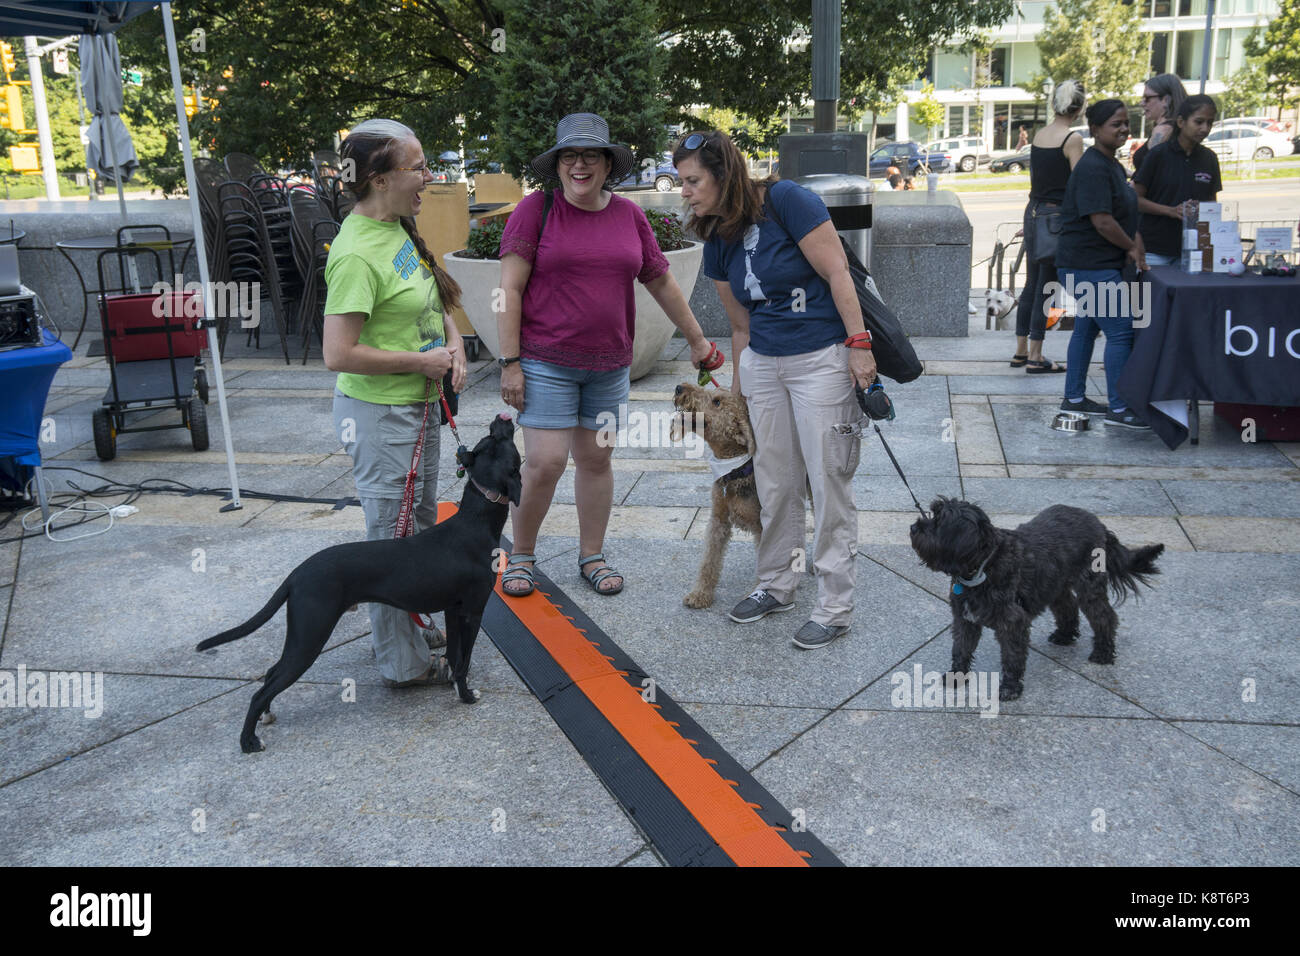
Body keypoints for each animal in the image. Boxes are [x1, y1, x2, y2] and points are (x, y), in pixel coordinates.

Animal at [195, 416, 520, 749]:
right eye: (501, 440)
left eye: (488, 441)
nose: (502, 419)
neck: (475, 519)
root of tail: (296, 574)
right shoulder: (472, 612)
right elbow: (464, 661)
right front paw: (467, 696)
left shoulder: (454, 611)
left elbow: (454, 656)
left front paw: (455, 687)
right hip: (311, 635)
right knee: (263, 688)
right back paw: (249, 741)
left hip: (302, 635)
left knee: (271, 673)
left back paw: (266, 715)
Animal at [904, 496, 1170, 697]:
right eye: (932, 514)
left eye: (939, 522)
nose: (913, 527)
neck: (984, 566)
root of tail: (1099, 524)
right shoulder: (965, 619)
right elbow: (961, 648)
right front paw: (957, 676)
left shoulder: (1012, 624)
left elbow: (1012, 656)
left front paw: (1010, 688)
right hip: (1056, 584)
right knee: (1067, 606)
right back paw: (1065, 635)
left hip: (1089, 585)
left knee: (1105, 616)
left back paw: (1103, 652)